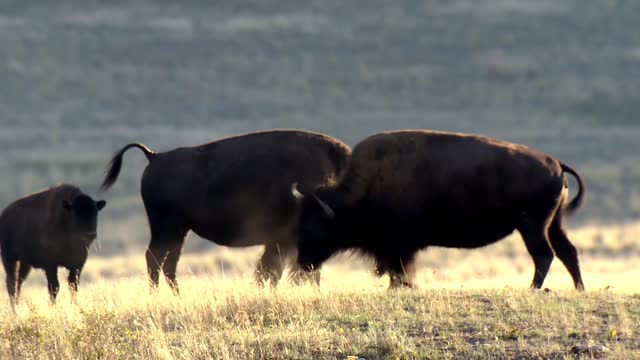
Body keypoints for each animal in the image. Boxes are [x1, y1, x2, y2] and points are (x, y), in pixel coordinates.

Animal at [100, 129, 350, 292]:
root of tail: (155, 157)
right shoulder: (285, 241)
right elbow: (276, 271)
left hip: (179, 231)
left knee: (168, 263)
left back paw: (176, 297)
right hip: (165, 229)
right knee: (155, 259)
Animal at [296, 129, 584, 290]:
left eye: (316, 225)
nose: (303, 261)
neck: (363, 188)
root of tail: (557, 163)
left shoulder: (400, 246)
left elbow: (401, 269)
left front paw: (402, 288)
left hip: (532, 226)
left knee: (544, 255)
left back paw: (532, 288)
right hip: (554, 224)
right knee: (567, 252)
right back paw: (578, 289)